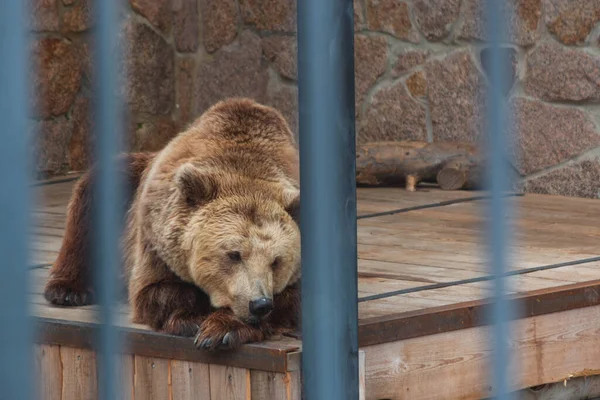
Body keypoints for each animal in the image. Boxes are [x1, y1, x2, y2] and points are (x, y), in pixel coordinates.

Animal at [44, 97, 302, 350]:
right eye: (233, 254)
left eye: (276, 261)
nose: (259, 304)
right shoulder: (156, 241)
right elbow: (158, 290)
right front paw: (194, 319)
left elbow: (291, 300)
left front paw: (222, 329)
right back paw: (67, 290)